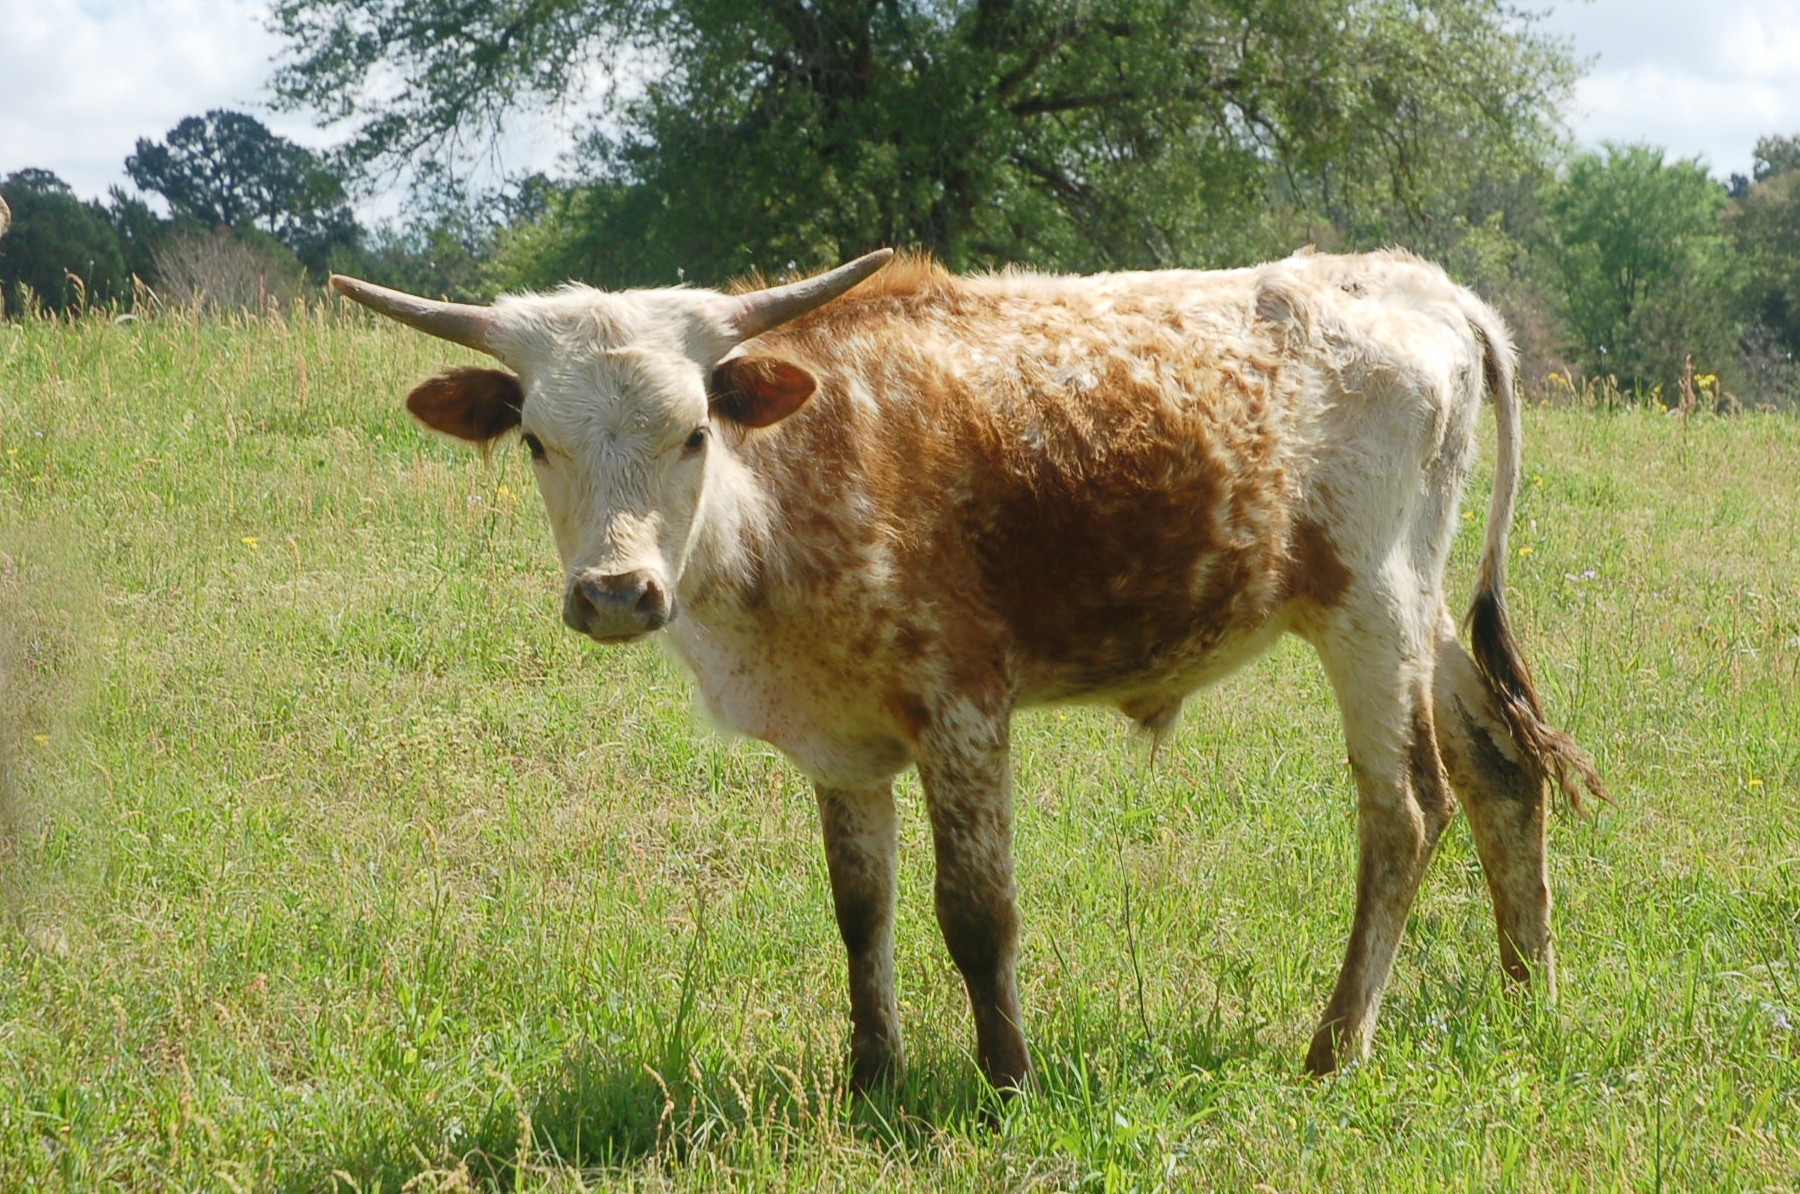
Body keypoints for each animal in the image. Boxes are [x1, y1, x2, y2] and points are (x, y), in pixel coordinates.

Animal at [330, 248, 1603, 1093]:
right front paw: (873, 1079)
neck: (789, 486)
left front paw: (1007, 1078)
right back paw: (1529, 991)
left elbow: (975, 911)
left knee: (1406, 809)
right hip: (1421, 605)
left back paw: (1335, 1046)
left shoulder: (965, 707)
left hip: (1369, 606)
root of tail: (1419, 281)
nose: (614, 594)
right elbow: (862, 909)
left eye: (693, 431)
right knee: (1498, 766)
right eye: (537, 440)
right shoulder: (841, 742)